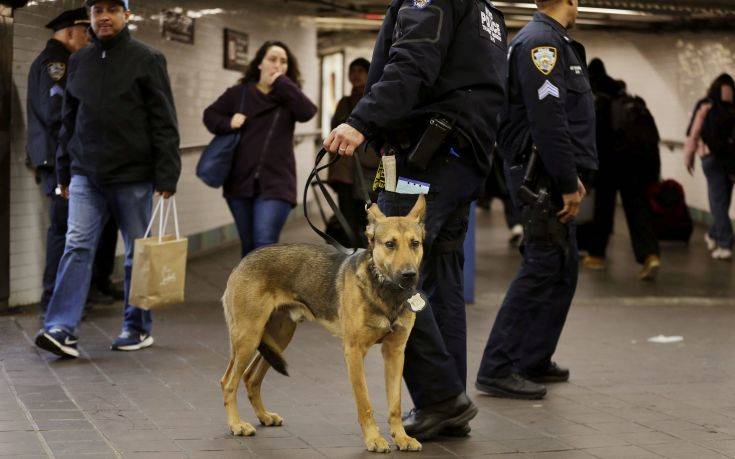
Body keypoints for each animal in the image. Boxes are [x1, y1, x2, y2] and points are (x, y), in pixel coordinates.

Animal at [220, 194, 426, 452]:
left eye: (415, 243)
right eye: (390, 244)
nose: (409, 275)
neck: (385, 290)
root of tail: (243, 260)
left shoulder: (395, 352)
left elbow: (395, 404)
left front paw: (401, 437)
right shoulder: (354, 352)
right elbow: (365, 403)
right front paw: (373, 438)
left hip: (277, 337)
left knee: (250, 378)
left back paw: (264, 416)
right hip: (248, 338)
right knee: (228, 381)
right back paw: (236, 424)